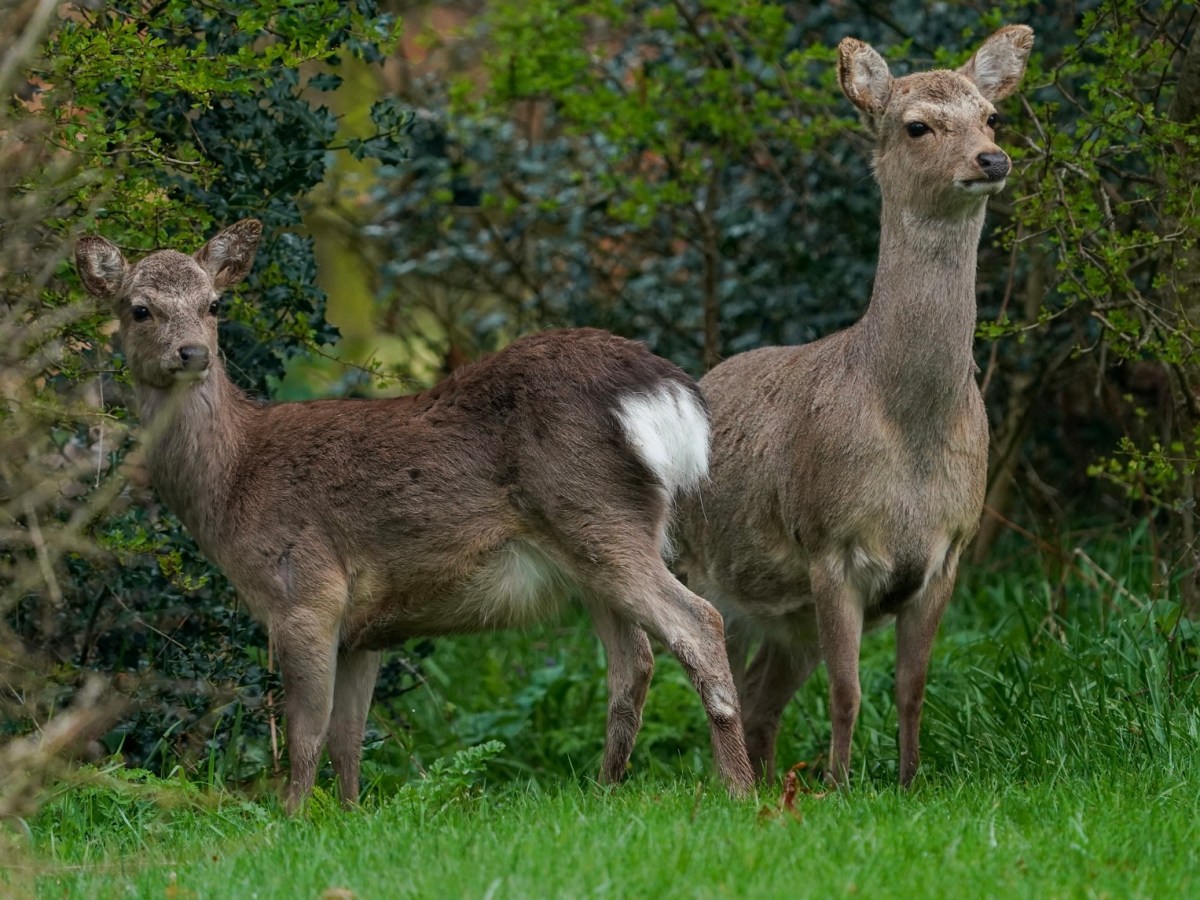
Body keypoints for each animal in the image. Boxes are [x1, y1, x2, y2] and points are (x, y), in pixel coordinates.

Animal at [75, 220, 755, 811]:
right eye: (139, 308)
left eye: (215, 304)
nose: (191, 352)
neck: (233, 482)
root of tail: (667, 393)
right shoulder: (364, 628)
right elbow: (349, 738)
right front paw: (349, 814)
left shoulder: (306, 591)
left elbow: (305, 733)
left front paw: (288, 819)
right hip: (597, 546)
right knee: (633, 662)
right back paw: (605, 789)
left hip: (595, 515)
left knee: (699, 623)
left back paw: (740, 791)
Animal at [676, 25, 1034, 787]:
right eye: (917, 125)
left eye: (992, 115)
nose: (992, 158)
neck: (911, 424)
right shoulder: (829, 542)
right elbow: (847, 689)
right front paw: (840, 786)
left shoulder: (949, 551)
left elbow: (912, 686)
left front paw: (908, 781)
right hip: (697, 564)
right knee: (699, 673)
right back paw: (725, 784)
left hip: (788, 616)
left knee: (758, 696)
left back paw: (765, 782)